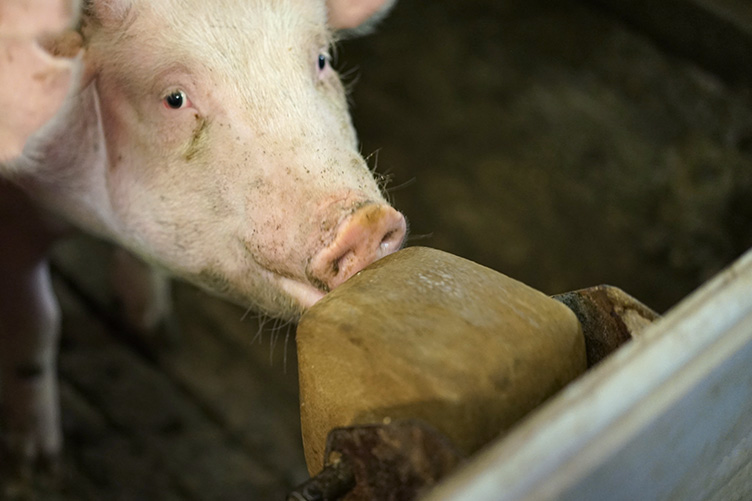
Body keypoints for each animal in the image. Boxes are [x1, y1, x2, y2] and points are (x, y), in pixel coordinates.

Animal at [0, 0, 406, 470]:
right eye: (174, 99)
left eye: (322, 59)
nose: (366, 222)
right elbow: (36, 321)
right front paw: (35, 460)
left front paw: (158, 333)